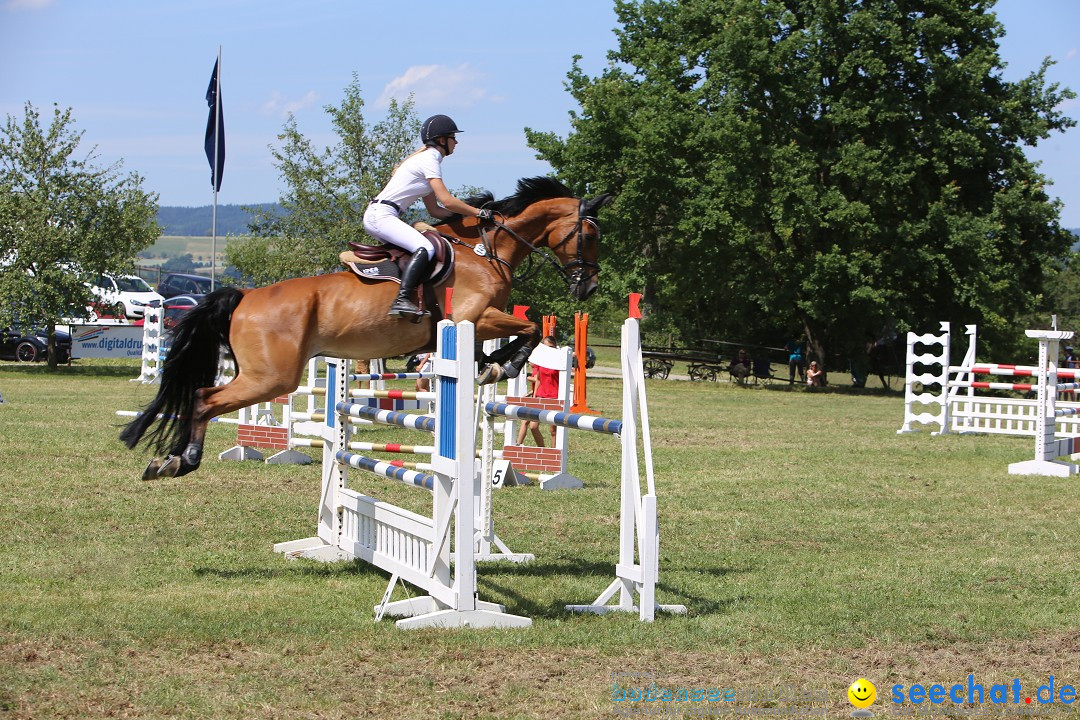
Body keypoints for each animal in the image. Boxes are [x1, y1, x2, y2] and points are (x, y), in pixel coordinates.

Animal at [122, 175, 613, 479]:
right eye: (590, 235)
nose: (588, 286)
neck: (484, 249)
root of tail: (244, 296)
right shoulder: (470, 318)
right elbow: (527, 328)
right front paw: (502, 367)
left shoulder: (471, 324)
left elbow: (517, 334)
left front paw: (492, 364)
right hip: (271, 378)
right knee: (204, 399)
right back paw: (181, 461)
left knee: (201, 397)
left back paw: (169, 461)